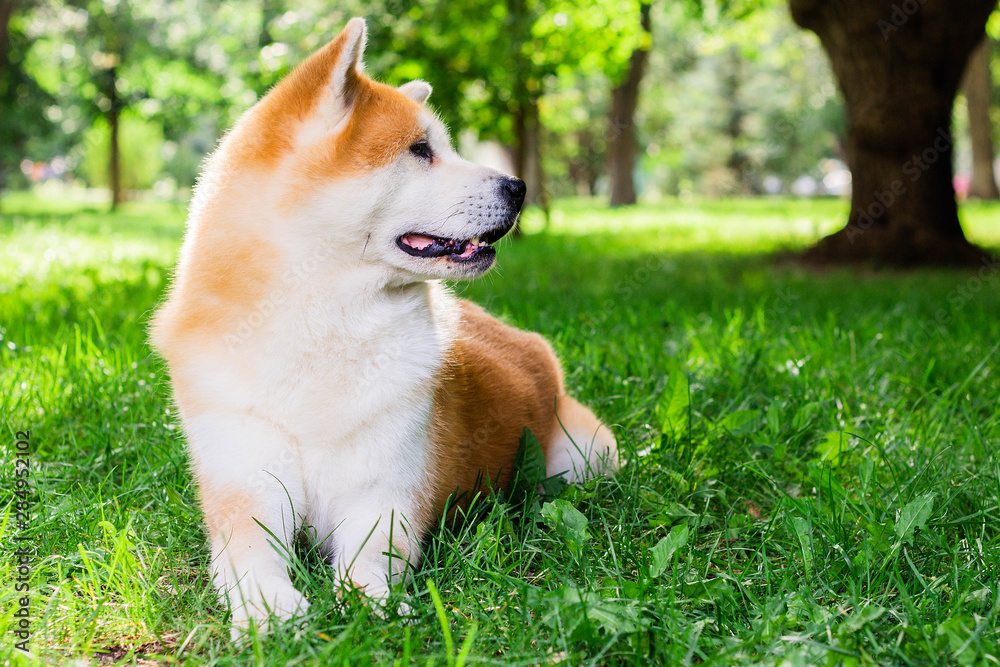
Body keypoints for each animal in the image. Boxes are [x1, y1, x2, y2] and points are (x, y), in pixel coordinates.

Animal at [150, 15, 616, 632]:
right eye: (420, 150)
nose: (518, 187)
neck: (322, 328)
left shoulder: (387, 491)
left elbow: (368, 560)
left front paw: (370, 603)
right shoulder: (246, 479)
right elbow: (248, 556)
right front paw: (269, 607)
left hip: (589, 457)